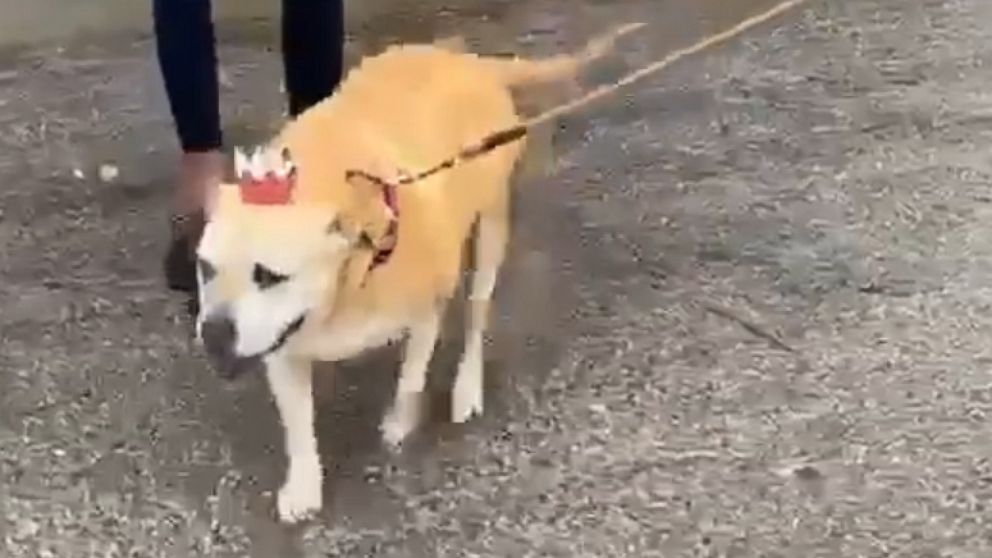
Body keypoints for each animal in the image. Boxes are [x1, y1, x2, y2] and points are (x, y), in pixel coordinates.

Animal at [194, 25, 644, 524]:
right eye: (205, 267)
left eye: (270, 276)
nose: (214, 331)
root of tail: (471, 63)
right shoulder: (281, 345)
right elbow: (297, 425)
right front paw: (305, 485)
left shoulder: (426, 311)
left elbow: (411, 378)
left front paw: (400, 424)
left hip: (490, 229)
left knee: (477, 312)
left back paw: (467, 388)